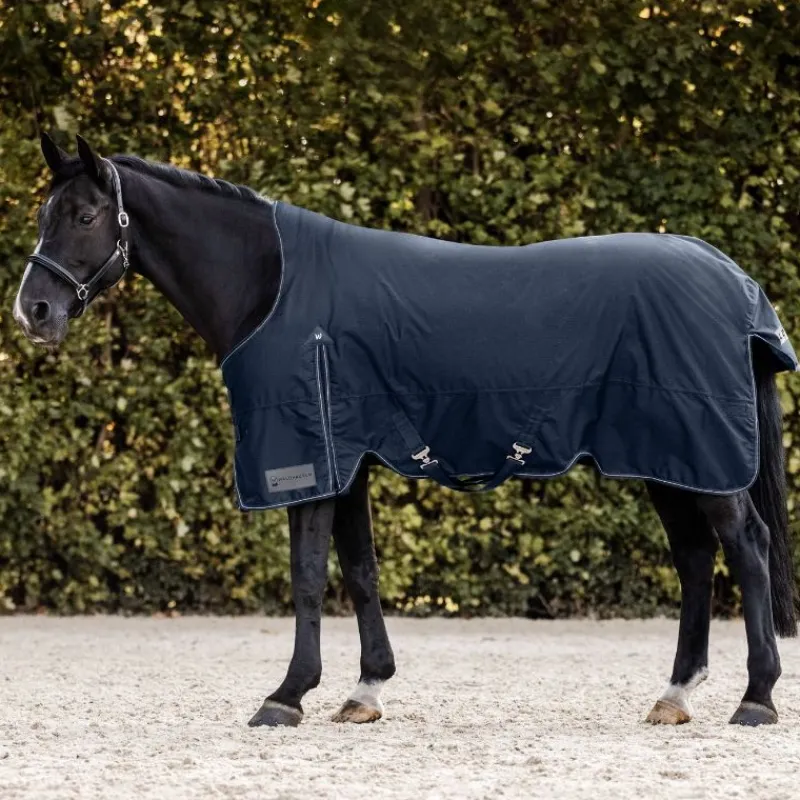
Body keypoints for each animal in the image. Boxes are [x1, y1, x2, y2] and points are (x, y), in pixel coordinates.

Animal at [12, 133, 798, 729]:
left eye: (86, 214)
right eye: (47, 211)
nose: (34, 311)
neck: (275, 288)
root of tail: (733, 279)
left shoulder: (309, 461)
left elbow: (306, 576)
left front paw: (287, 695)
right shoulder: (348, 459)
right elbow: (359, 570)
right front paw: (365, 689)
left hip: (699, 455)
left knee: (747, 547)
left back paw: (756, 697)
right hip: (667, 457)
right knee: (695, 558)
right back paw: (675, 695)